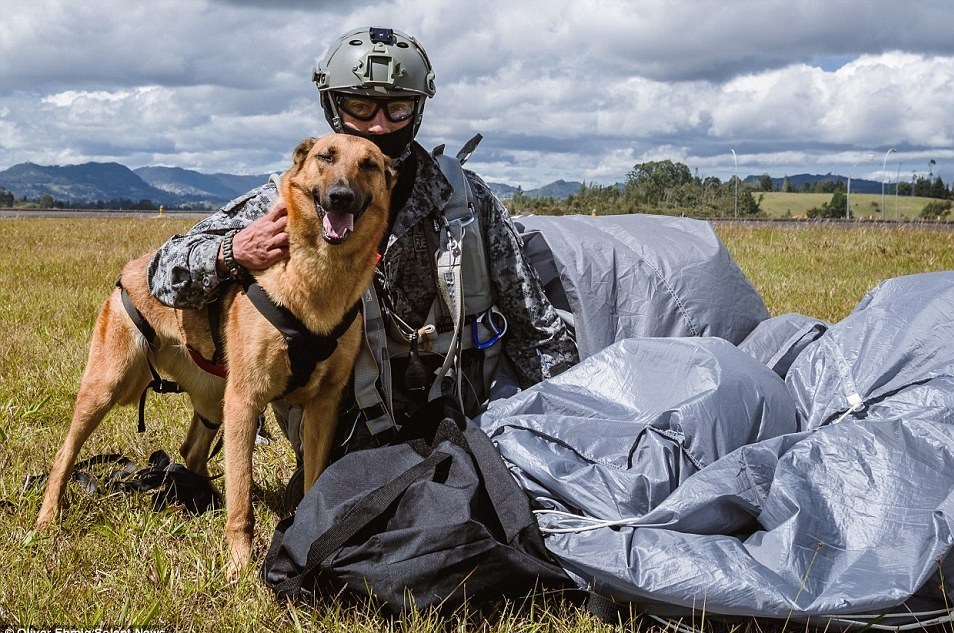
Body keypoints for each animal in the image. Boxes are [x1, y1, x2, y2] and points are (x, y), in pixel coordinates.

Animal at [35, 134, 394, 578]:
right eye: (326, 157)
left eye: (369, 165)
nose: (340, 197)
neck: (317, 275)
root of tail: (133, 268)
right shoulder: (246, 401)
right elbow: (241, 499)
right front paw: (239, 567)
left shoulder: (322, 407)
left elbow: (314, 480)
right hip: (106, 388)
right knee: (64, 455)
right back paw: (48, 517)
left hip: (212, 399)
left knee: (191, 450)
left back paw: (201, 499)